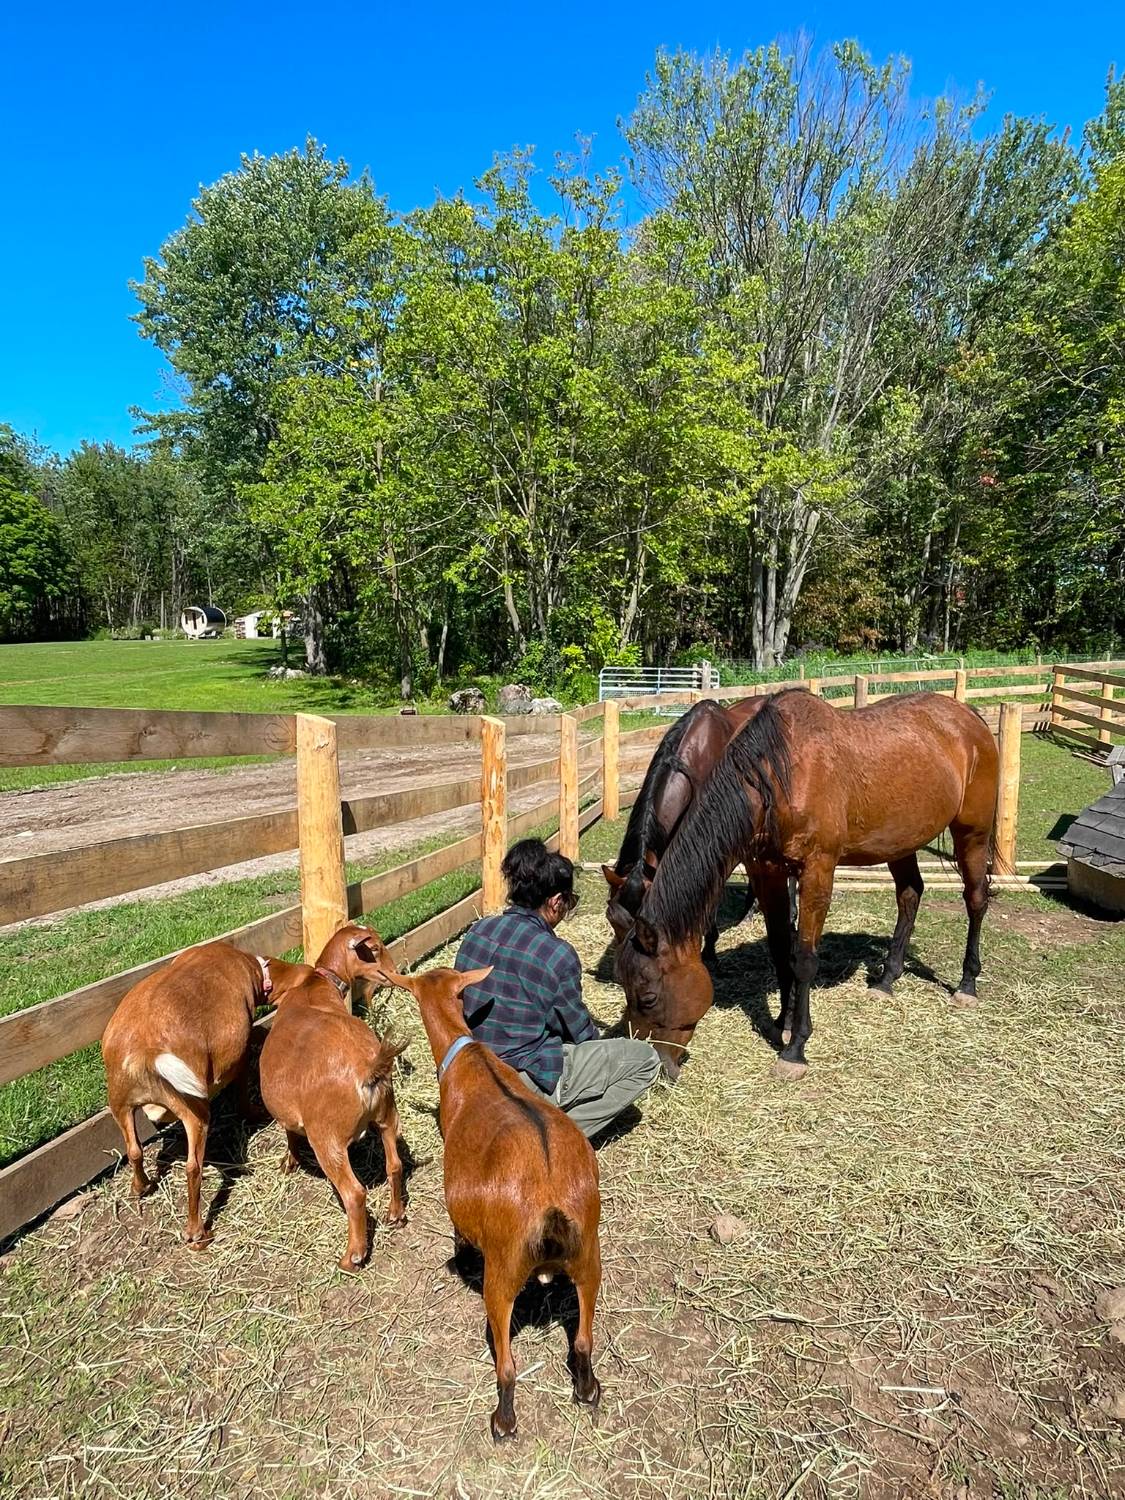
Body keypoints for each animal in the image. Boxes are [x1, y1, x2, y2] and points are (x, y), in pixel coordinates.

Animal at [259, 924, 408, 1271]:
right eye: (375, 949)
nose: (395, 974)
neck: (315, 987)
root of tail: (368, 1068)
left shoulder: (291, 1114)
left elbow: (289, 1132)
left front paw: (289, 1162)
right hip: (387, 1115)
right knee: (395, 1165)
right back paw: (395, 1215)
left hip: (327, 1138)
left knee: (354, 1193)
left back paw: (352, 1255)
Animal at [378, 963, 602, 1441]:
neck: (468, 1057)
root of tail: (551, 1203)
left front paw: (459, 1253)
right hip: (589, 1256)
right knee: (582, 1338)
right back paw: (586, 1389)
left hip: (501, 1272)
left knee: (508, 1363)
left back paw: (503, 1421)